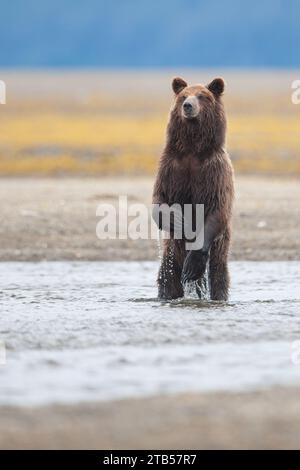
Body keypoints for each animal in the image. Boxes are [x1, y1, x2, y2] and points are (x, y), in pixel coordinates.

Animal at [152, 75, 234, 300]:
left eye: (202, 96)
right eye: (183, 96)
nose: (188, 106)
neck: (192, 148)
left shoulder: (214, 171)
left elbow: (217, 208)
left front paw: (193, 264)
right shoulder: (171, 168)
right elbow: (159, 201)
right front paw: (179, 220)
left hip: (219, 248)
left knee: (218, 276)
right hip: (172, 254)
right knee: (167, 277)